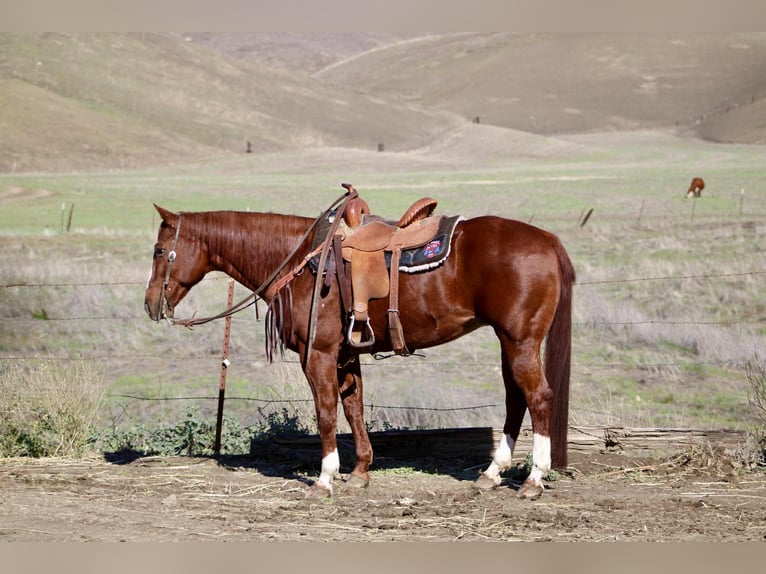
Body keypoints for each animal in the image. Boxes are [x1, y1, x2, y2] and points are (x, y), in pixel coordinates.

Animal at [144, 193, 575, 500]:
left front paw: (324, 478)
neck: (301, 259)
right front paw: (359, 472)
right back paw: (491, 474)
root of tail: (548, 240)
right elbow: (354, 408)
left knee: (538, 398)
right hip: (508, 341)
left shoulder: (317, 355)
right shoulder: (346, 354)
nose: (150, 304)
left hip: (520, 341)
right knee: (516, 400)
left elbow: (326, 413)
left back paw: (533, 479)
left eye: (159, 250)